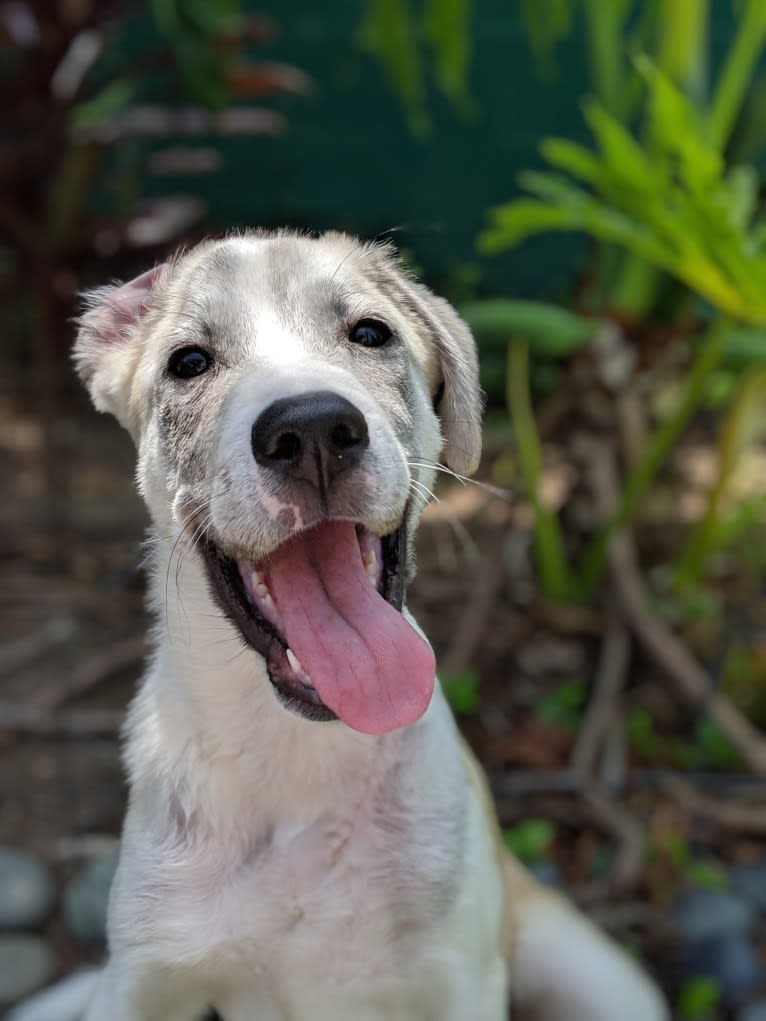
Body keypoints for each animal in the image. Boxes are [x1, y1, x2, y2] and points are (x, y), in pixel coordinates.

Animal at [12, 233, 669, 1021]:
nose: (313, 429)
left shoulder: (458, 977)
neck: (296, 750)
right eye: (189, 361)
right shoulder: (142, 978)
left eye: (370, 333)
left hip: (604, 981)